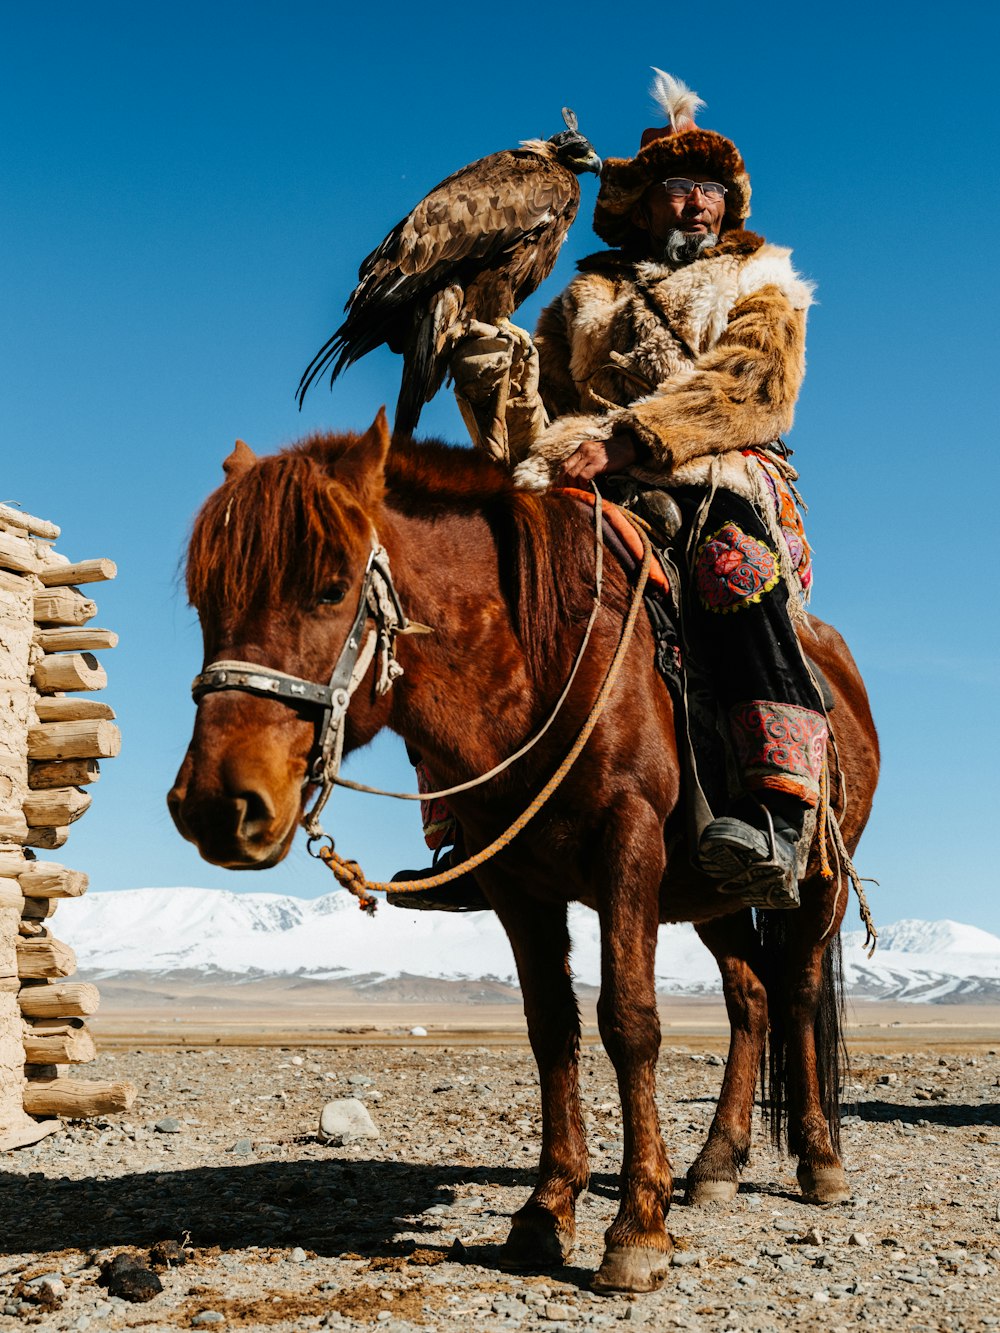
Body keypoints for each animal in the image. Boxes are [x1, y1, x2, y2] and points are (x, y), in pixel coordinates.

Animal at [168, 413, 880, 1290]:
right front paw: (546, 1210)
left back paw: (819, 1162)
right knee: (750, 996)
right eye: (206, 601)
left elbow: (629, 1020)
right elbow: (551, 1028)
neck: (542, 663)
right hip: (711, 890)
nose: (216, 805)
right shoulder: (514, 880)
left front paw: (637, 1229)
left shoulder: (628, 846)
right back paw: (715, 1164)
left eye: (331, 588)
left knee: (797, 990)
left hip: (818, 882)